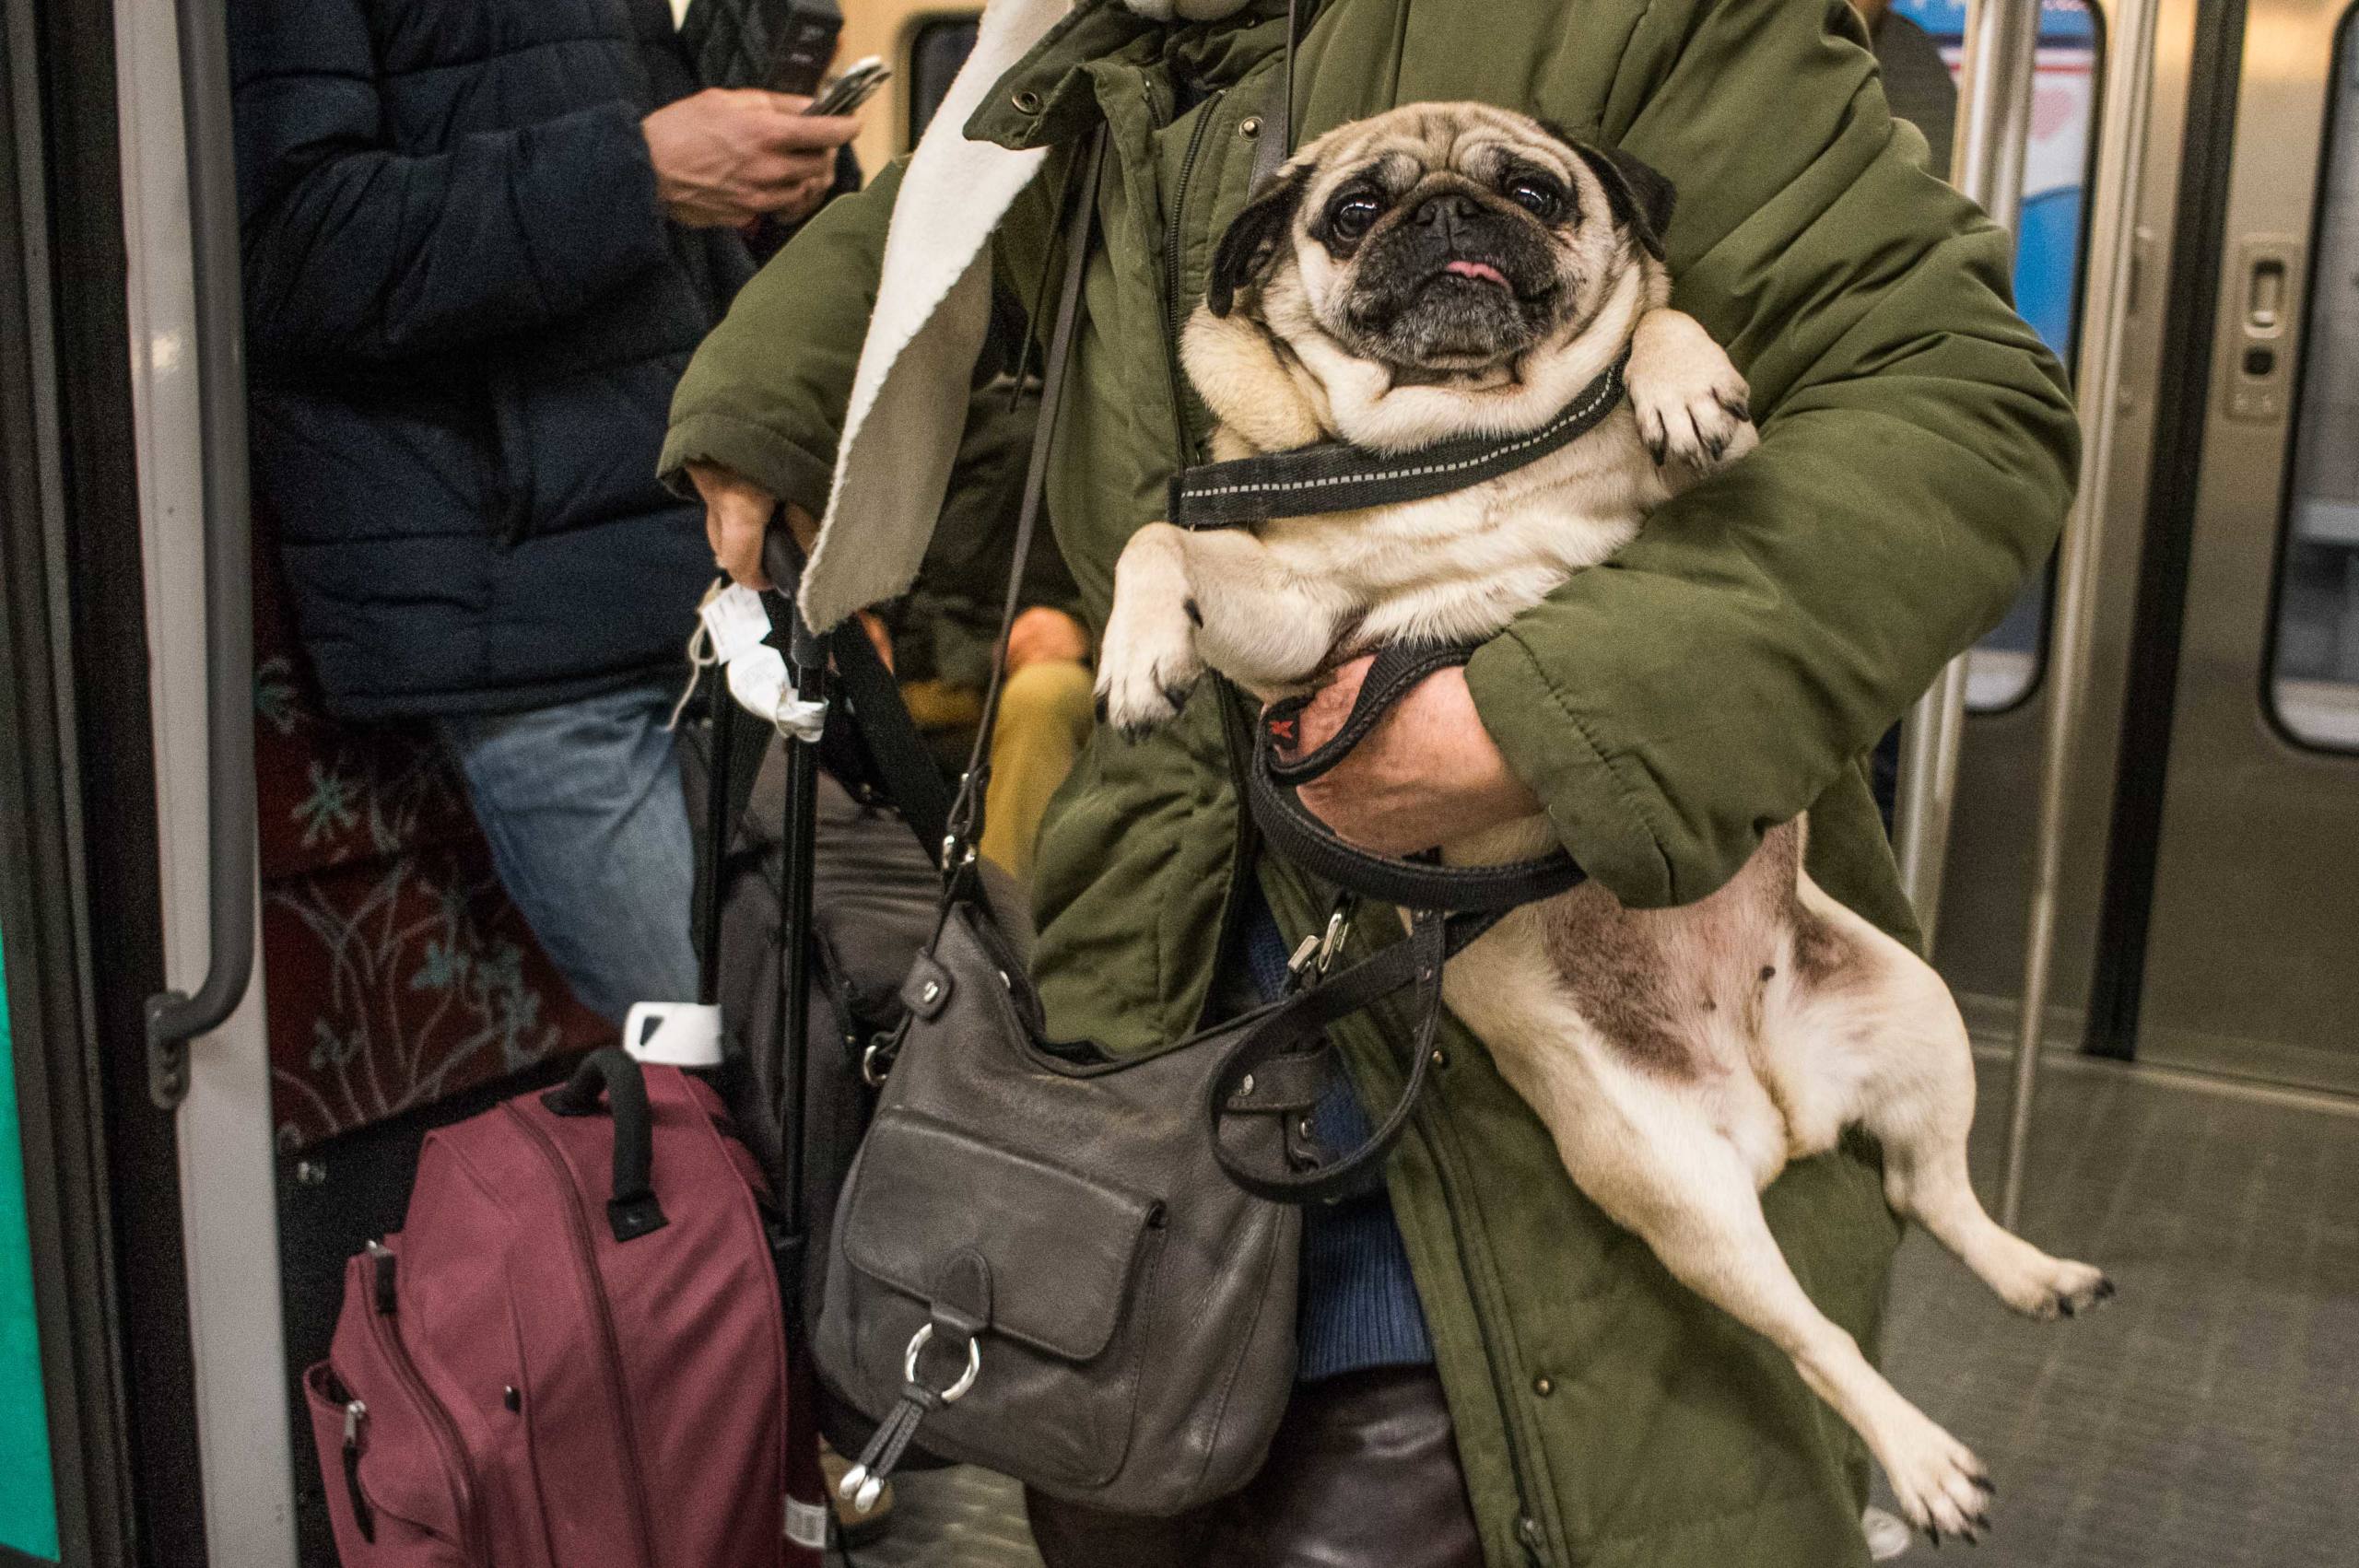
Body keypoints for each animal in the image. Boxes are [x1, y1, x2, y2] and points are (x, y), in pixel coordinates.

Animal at [1094, 103, 2113, 1546]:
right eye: (1353, 212)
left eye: (1532, 190)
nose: (1449, 214)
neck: (1461, 436)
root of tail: (1782, 1097)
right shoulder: (1295, 645)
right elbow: (1161, 543)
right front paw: (1138, 655)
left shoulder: (1721, 494)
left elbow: (1658, 327)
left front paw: (1677, 379)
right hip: (1685, 1193)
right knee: (1821, 1334)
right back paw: (1924, 1458)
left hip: (1918, 1013)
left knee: (1931, 1191)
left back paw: (2035, 1277)